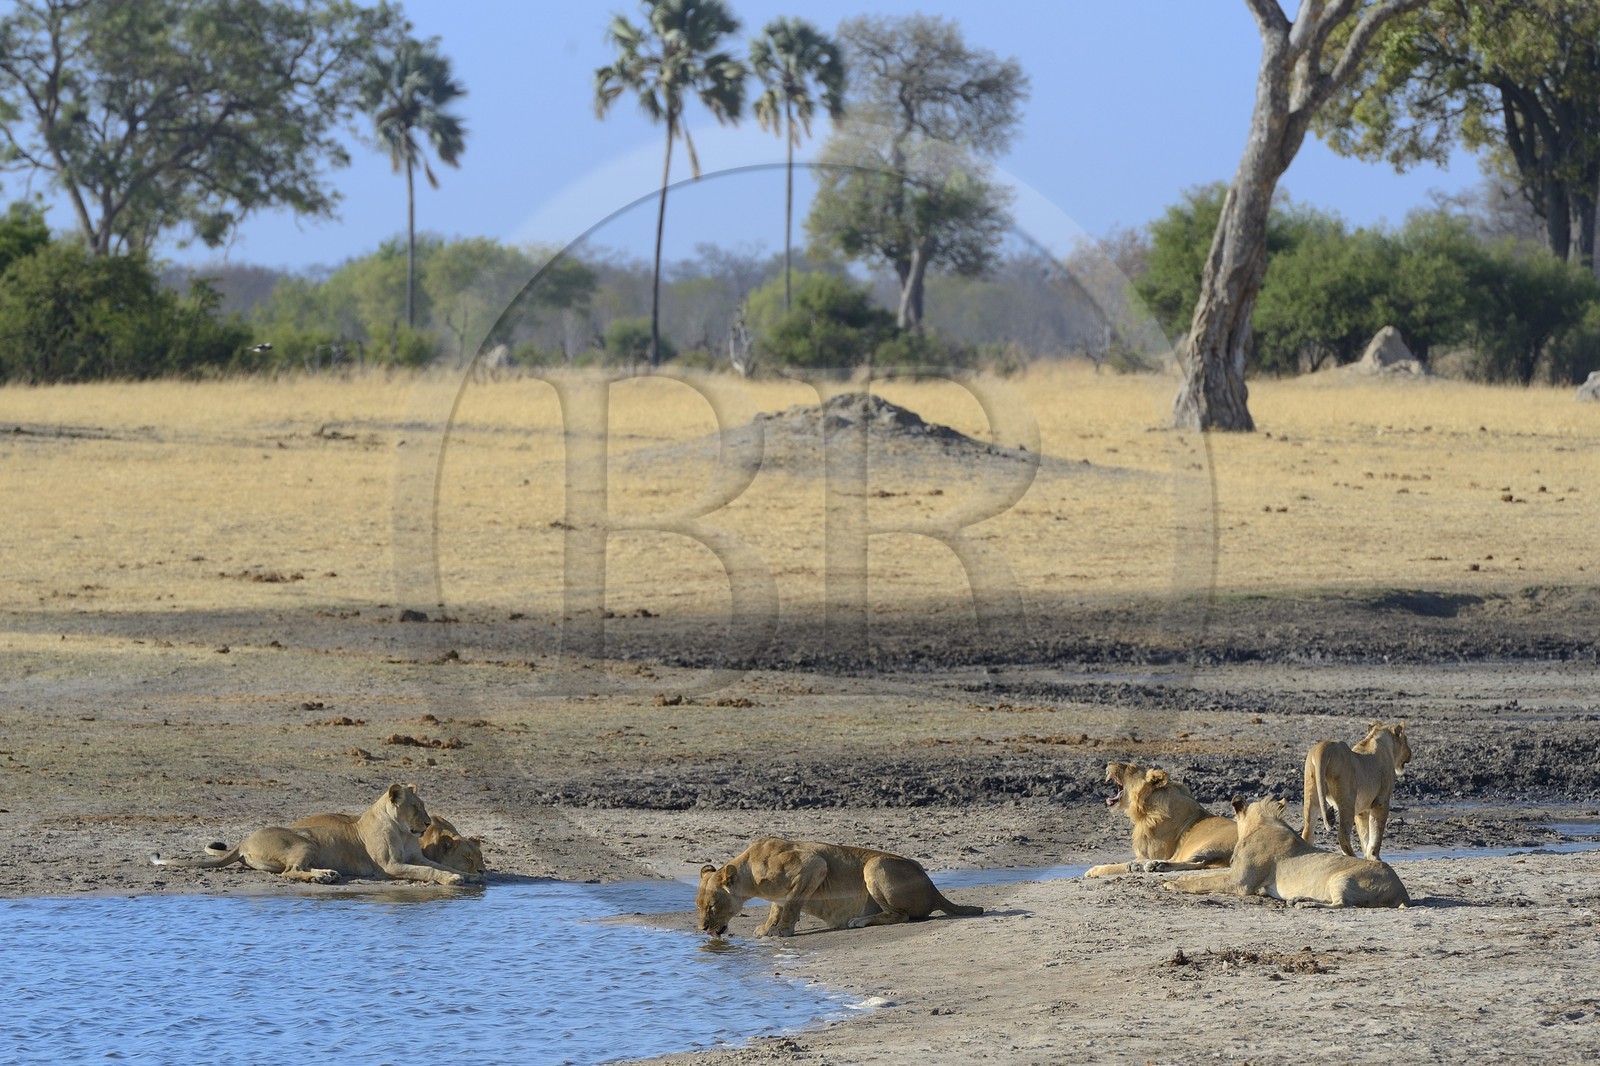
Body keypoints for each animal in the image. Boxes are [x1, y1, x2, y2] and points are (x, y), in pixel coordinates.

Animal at [149, 784, 477, 885]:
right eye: (415, 807)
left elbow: (434, 865)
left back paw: (327, 874)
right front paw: (453, 879)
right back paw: (322, 878)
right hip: (304, 842)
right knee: (290, 872)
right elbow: (427, 872)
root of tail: (243, 840)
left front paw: (466, 875)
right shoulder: (391, 866)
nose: (426, 823)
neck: (404, 831)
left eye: (424, 806)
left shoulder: (413, 856)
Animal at [696, 836, 983, 938]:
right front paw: (767, 927)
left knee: (900, 915)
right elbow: (777, 907)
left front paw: (783, 931)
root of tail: (934, 889)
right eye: (698, 906)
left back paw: (858, 921)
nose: (701, 928)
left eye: (712, 906)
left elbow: (791, 904)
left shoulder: (813, 864)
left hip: (875, 865)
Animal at [1084, 761, 1237, 877]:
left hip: (1209, 845)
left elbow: (1116, 866)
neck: (1146, 808)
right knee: (1201, 864)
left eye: (1130, 767)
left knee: (1196, 862)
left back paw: (1154, 865)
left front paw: (1093, 870)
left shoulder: (1159, 852)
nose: (1109, 763)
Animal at [1165, 796, 1409, 907]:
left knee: (1341, 904)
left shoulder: (1239, 882)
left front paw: (1173, 884)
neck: (1258, 826)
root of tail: (1402, 892)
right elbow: (1206, 876)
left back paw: (1304, 903)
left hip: (1342, 878)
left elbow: (1203, 881)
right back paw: (1299, 898)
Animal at [1301, 720, 1411, 859]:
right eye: (1406, 740)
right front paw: (1375, 857)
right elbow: (1376, 833)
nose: (1410, 753)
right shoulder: (1381, 803)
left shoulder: (1362, 810)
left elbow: (1365, 835)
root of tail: (1323, 748)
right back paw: (1352, 856)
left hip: (1311, 794)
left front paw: (1368, 856)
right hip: (1347, 799)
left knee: (1307, 831)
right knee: (1342, 834)